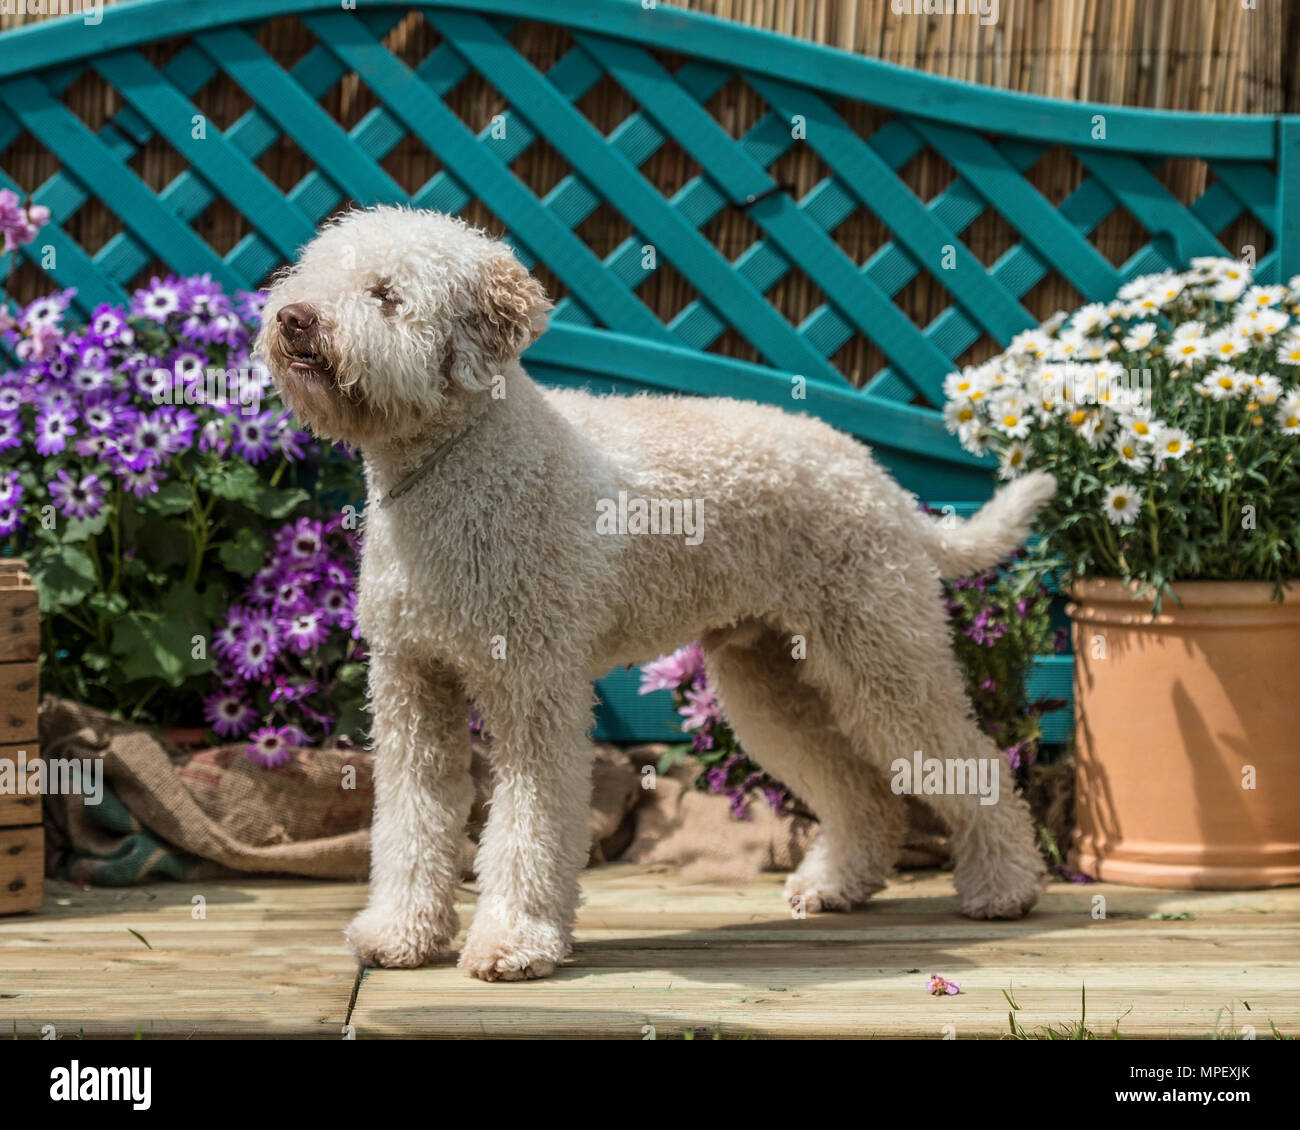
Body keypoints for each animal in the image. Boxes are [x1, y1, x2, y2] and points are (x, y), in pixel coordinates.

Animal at [256, 205, 1055, 977]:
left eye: (386, 295)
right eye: (319, 273)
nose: (294, 316)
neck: (469, 460)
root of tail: (877, 477)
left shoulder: (535, 686)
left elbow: (529, 822)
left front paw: (514, 942)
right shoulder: (412, 683)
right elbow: (411, 817)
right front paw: (400, 934)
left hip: (883, 652)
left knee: (971, 759)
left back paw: (1006, 889)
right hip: (768, 678)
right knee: (861, 791)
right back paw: (837, 884)